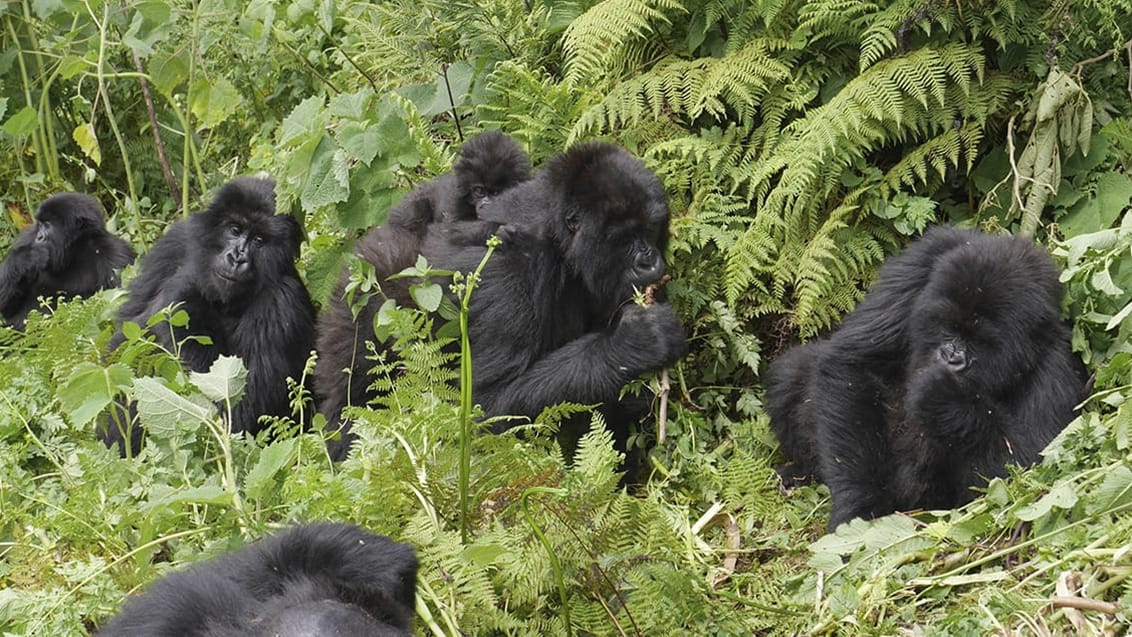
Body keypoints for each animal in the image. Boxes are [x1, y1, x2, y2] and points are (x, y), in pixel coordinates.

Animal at [0, 192, 134, 328]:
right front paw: (25, 258)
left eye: (48, 225)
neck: (74, 252)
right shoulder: (26, 238)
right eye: (40, 225)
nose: (39, 237)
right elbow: (8, 307)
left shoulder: (116, 253)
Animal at [102, 175, 316, 452]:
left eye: (259, 240)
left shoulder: (282, 303)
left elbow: (235, 415)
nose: (237, 258)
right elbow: (123, 339)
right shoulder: (178, 240)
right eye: (234, 230)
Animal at [314, 140, 683, 459]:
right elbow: (486, 409)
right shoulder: (512, 271)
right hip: (364, 300)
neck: (560, 244)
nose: (649, 261)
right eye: (623, 239)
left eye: (650, 230)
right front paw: (635, 341)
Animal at [765, 226, 1091, 531]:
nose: (950, 357)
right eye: (947, 325)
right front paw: (859, 507)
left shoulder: (1057, 368)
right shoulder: (920, 262)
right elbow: (853, 364)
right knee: (794, 371)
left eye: (981, 342)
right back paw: (800, 472)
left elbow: (1024, 471)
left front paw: (946, 399)